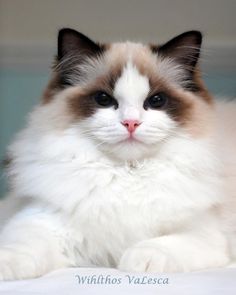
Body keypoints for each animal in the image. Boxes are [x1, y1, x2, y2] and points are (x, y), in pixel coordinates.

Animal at [0, 28, 236, 282]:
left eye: (156, 101)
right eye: (104, 99)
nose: (131, 123)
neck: (126, 172)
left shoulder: (202, 235)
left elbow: (159, 246)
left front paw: (136, 262)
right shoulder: (41, 221)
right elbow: (21, 248)